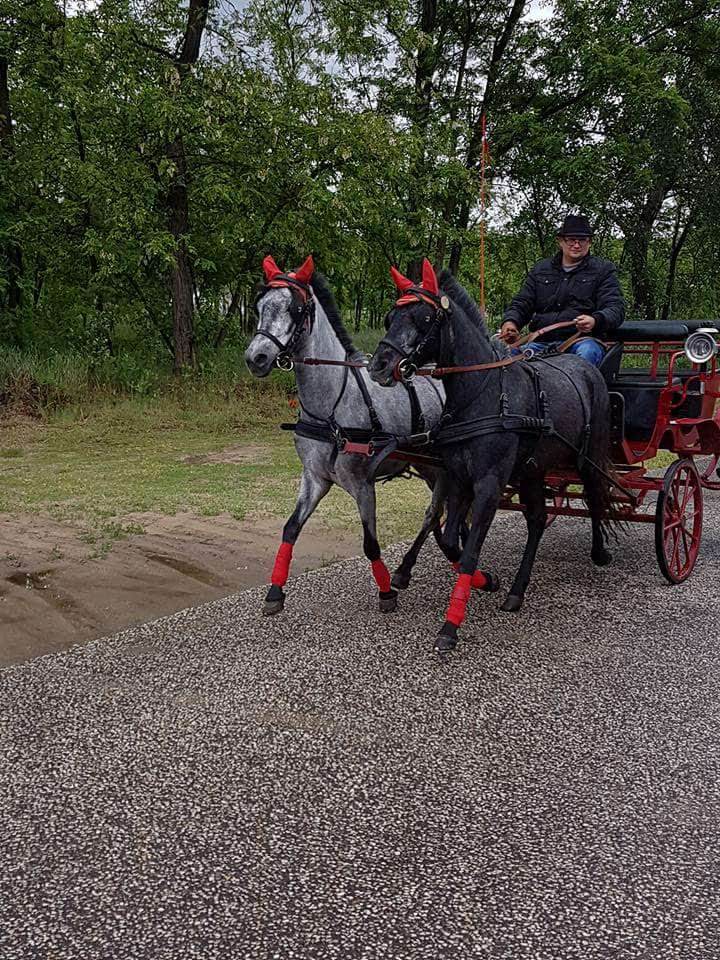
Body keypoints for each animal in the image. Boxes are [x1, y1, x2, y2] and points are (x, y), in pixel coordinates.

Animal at [248, 255, 450, 616]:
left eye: (295, 309)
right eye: (259, 306)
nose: (255, 357)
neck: (331, 409)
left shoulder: (363, 484)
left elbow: (371, 544)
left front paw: (385, 592)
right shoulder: (314, 478)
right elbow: (290, 528)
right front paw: (274, 591)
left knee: (436, 512)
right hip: (427, 466)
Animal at [368, 260, 616, 652]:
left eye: (424, 318)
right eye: (391, 316)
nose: (378, 366)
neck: (480, 396)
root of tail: (588, 368)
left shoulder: (489, 482)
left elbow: (469, 550)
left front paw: (450, 626)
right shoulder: (457, 478)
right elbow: (452, 540)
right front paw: (487, 580)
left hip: (587, 458)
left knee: (594, 498)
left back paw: (599, 552)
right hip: (533, 470)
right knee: (537, 519)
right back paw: (517, 589)